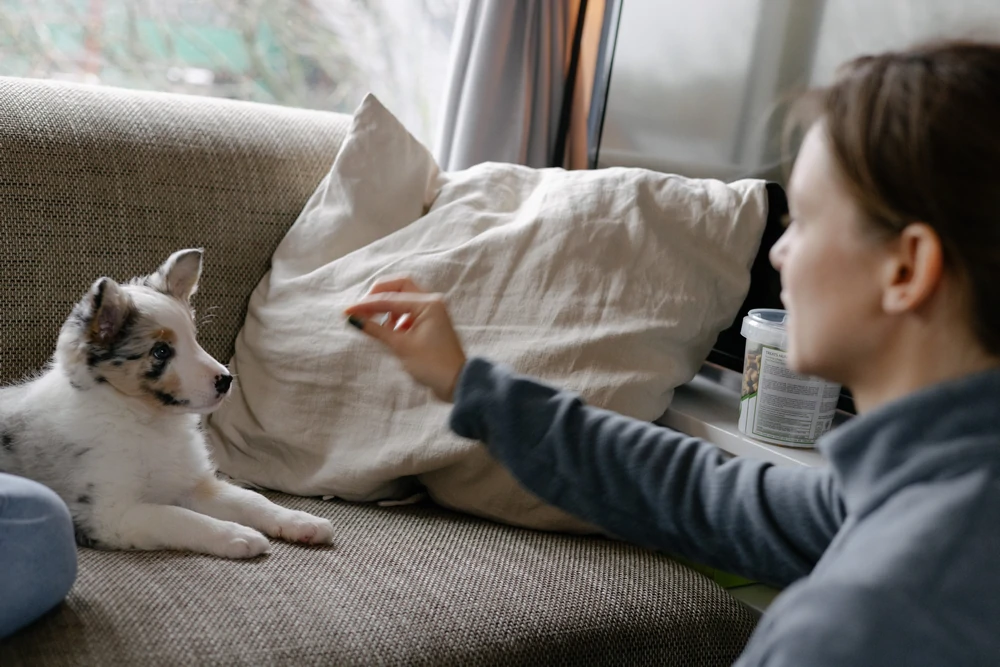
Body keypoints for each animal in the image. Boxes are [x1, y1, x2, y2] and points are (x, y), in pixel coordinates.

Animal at [0, 249, 336, 560]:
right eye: (161, 351)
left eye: (194, 337)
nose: (226, 380)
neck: (146, 420)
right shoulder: (110, 513)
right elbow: (178, 517)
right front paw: (238, 535)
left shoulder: (191, 483)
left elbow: (250, 500)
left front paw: (300, 521)